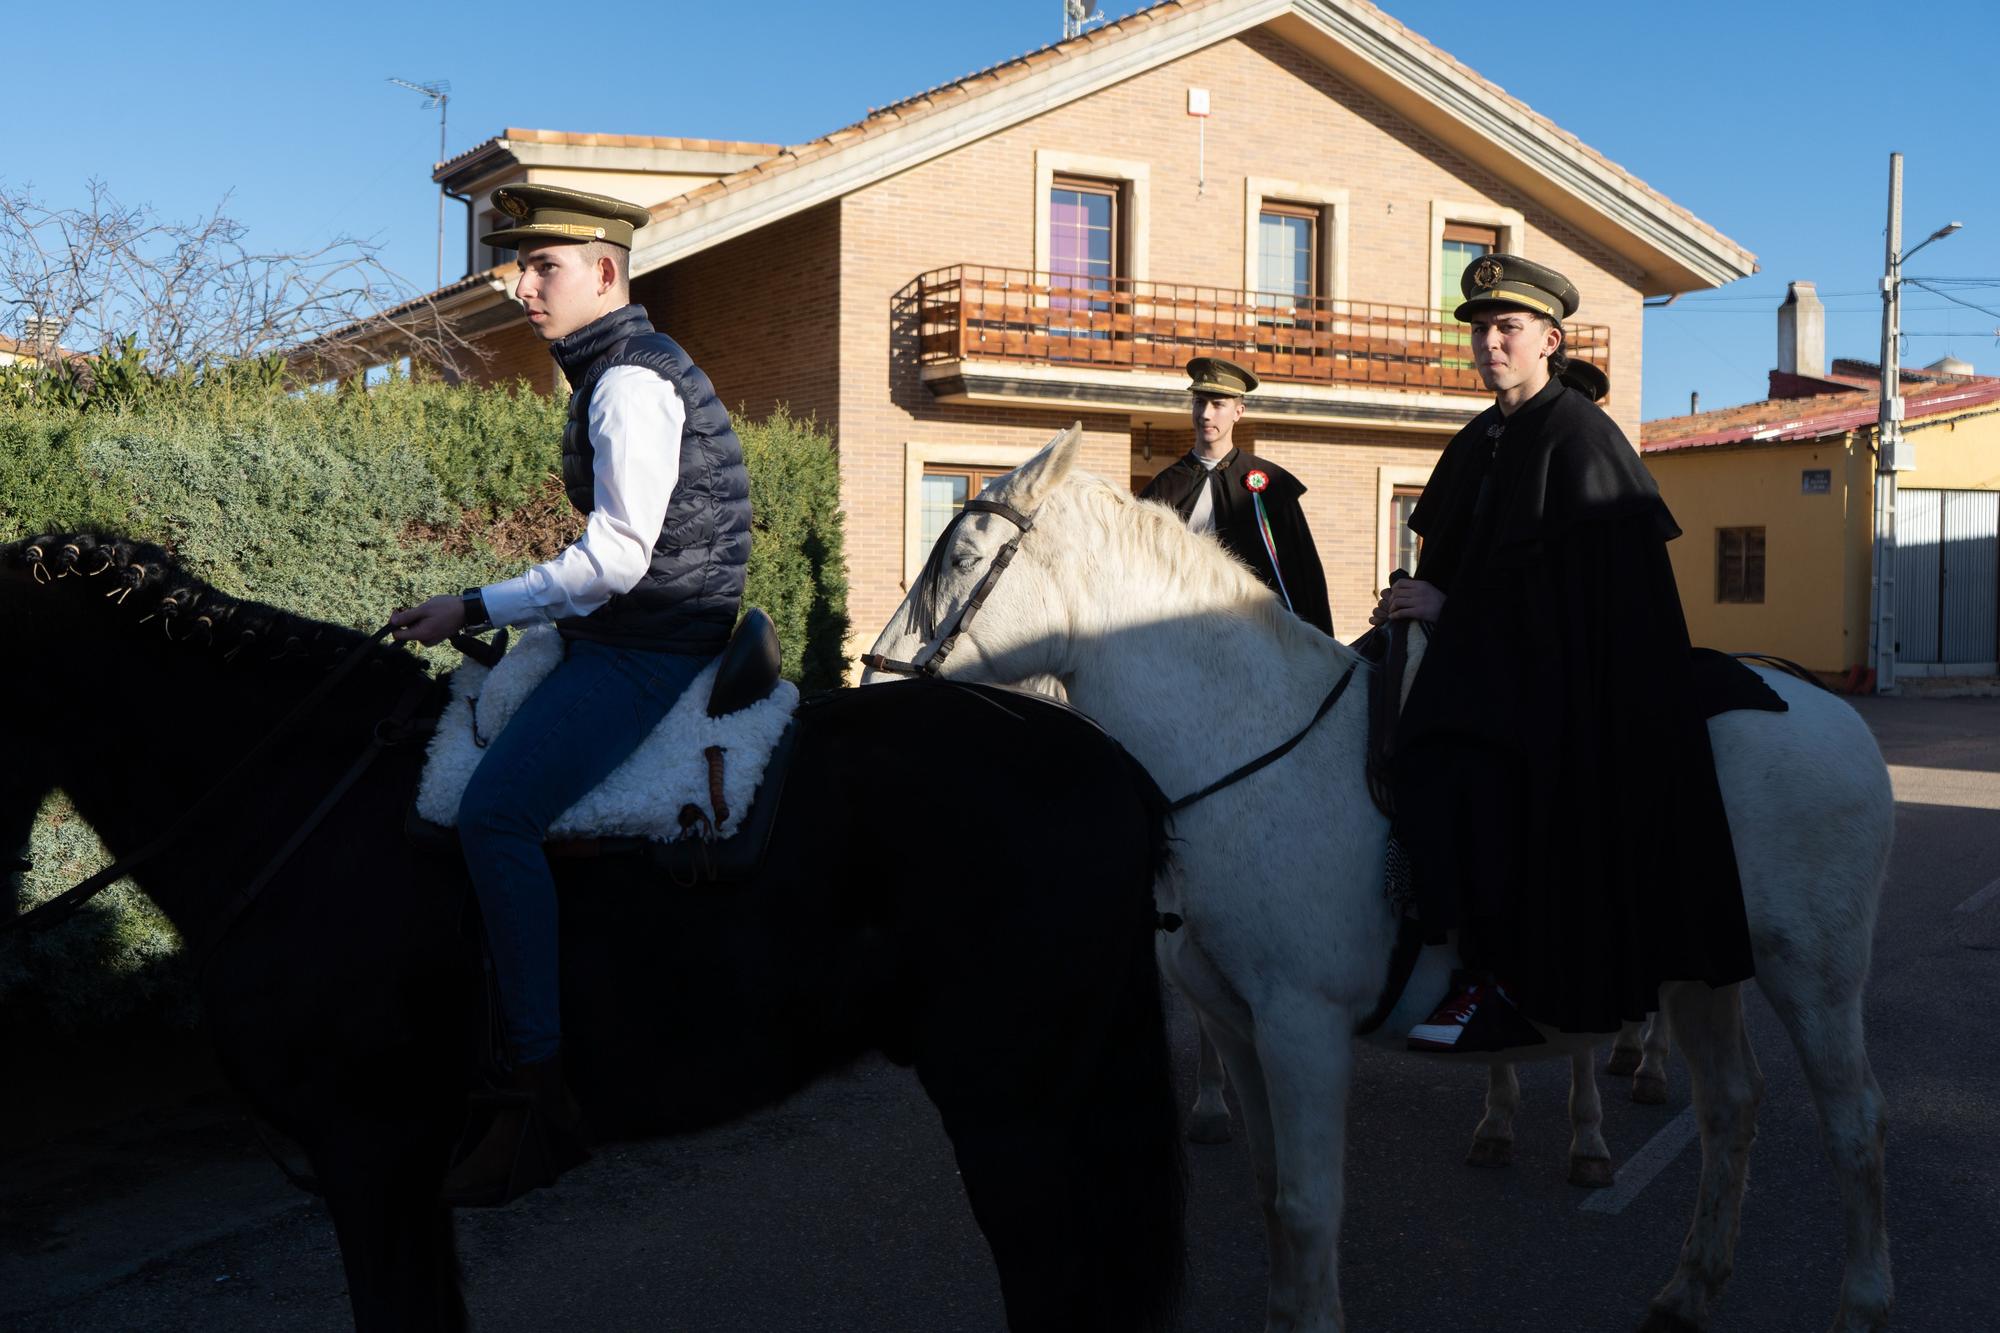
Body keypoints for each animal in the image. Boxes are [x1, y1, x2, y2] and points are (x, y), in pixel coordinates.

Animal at [860, 426, 1888, 1328]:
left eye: (961, 557)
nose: (873, 687)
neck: (1245, 743)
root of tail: (1826, 706)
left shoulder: (1304, 1028)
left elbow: (1311, 1207)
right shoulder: (1237, 1026)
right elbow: (1273, 1197)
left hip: (1815, 977)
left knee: (1856, 1131)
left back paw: (1858, 1306)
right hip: (1700, 970)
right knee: (1731, 1109)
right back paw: (1690, 1288)